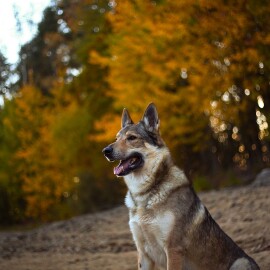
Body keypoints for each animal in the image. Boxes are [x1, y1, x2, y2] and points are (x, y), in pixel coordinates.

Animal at [102, 103, 260, 270]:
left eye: (131, 138)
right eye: (116, 138)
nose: (106, 151)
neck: (144, 194)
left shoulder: (173, 249)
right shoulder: (143, 254)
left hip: (241, 262)